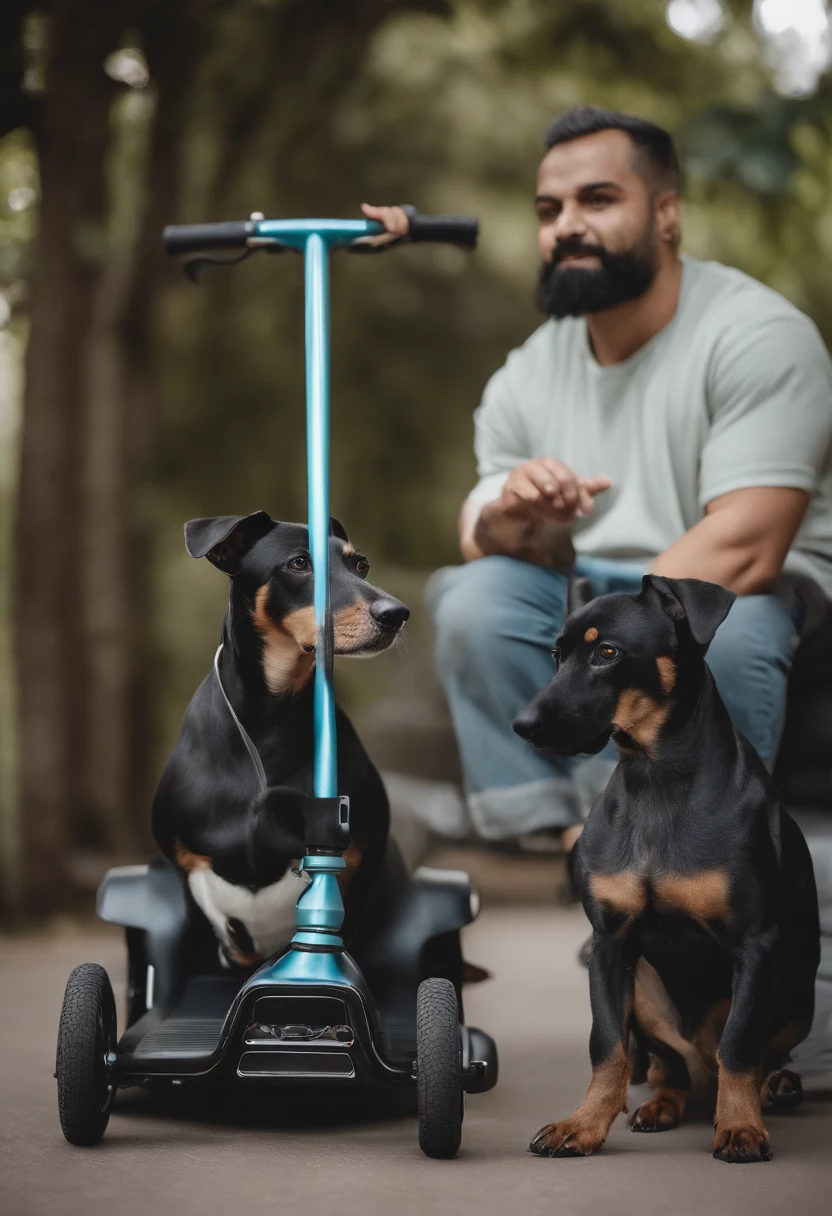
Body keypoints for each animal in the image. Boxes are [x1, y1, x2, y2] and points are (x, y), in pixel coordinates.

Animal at [152, 510, 408, 967]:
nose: (397, 614)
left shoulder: (361, 864)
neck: (270, 718)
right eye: (299, 563)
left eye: (361, 565)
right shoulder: (188, 872)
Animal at [513, 578, 817, 1167]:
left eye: (608, 653)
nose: (523, 726)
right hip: (648, 996)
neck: (655, 779)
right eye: (558, 655)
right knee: (668, 1066)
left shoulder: (756, 944)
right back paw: (661, 1104)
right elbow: (606, 1046)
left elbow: (740, 1043)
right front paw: (583, 1126)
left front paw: (741, 1127)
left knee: (749, 1055)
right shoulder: (609, 946)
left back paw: (771, 1090)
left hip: (796, 995)